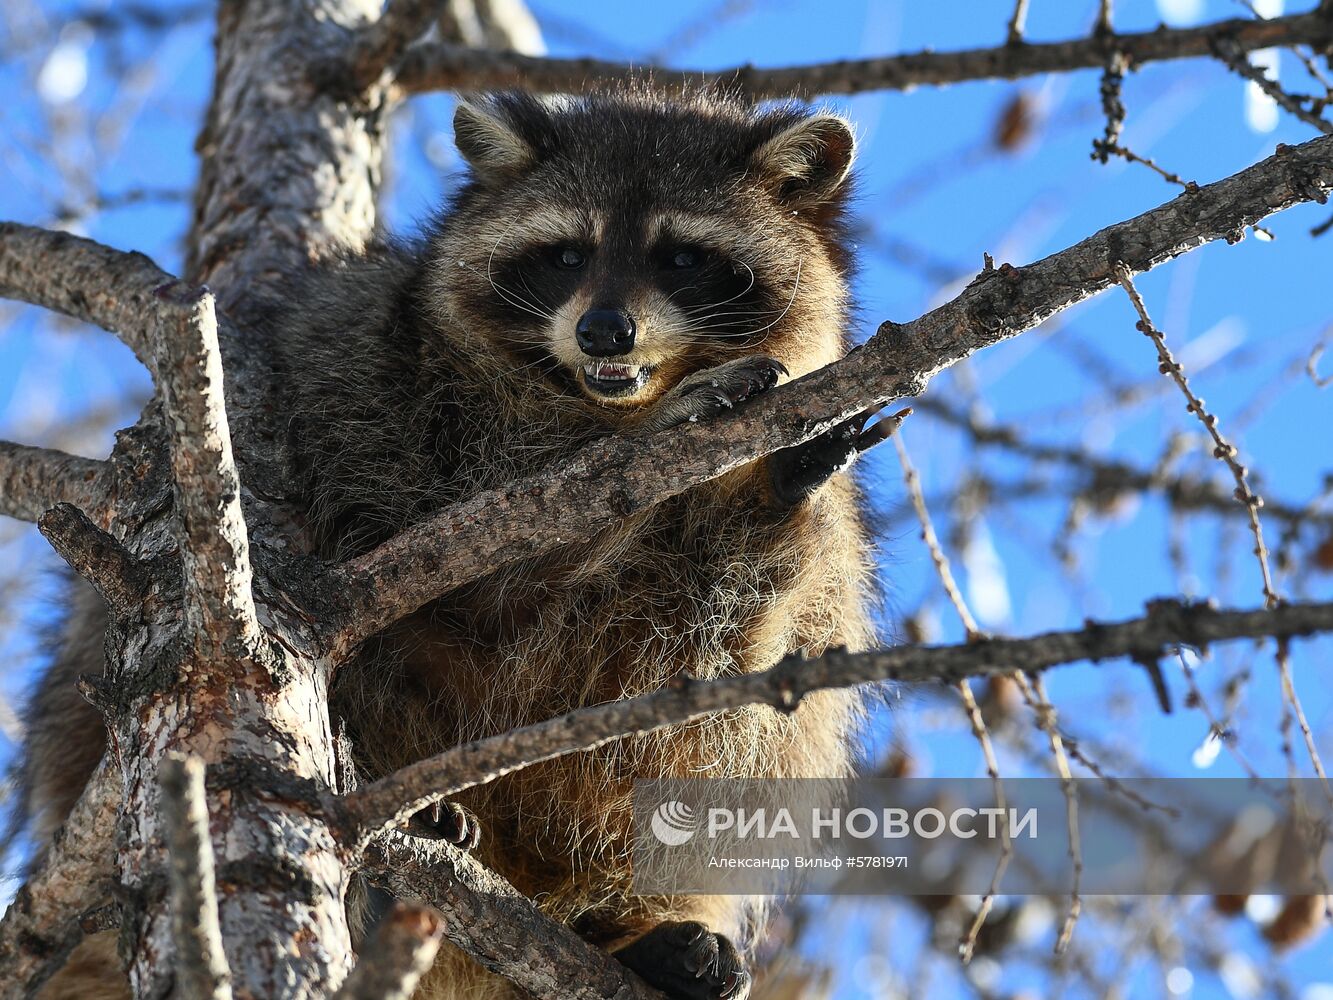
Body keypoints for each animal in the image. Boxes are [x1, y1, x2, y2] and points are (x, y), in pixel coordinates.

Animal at [20, 88, 879, 1000]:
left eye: (682, 256)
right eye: (565, 254)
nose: (605, 330)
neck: (599, 402)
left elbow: (720, 644)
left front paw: (767, 490)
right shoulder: (372, 386)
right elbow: (497, 546)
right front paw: (668, 434)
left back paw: (632, 927)